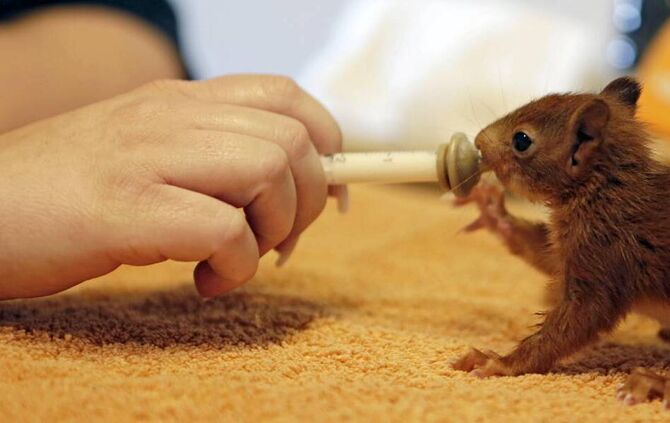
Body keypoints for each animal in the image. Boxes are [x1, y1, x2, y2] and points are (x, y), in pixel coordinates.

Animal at [451, 77, 670, 408]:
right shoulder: (567, 249)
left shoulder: (603, 252)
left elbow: (575, 323)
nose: (478, 142)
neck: (601, 188)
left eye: (522, 140)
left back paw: (652, 382)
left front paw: (499, 362)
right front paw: (492, 210)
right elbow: (542, 253)